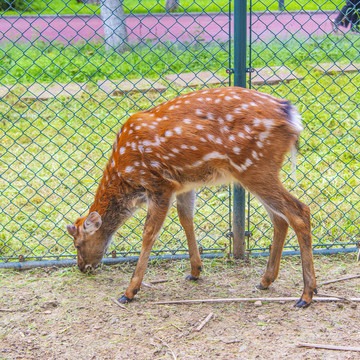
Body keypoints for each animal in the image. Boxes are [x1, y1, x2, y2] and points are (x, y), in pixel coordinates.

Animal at [66, 86, 316, 306]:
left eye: (78, 244)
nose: (82, 267)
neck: (125, 176)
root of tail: (292, 116)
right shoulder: (184, 185)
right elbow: (186, 218)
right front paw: (195, 271)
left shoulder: (159, 184)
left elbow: (149, 234)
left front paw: (129, 291)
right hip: (257, 170)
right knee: (280, 218)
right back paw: (266, 280)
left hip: (255, 166)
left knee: (299, 211)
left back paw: (306, 295)